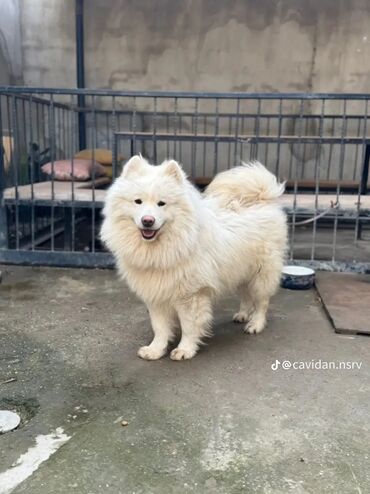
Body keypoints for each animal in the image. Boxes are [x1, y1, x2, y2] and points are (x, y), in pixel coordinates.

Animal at [102, 156, 290, 360]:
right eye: (138, 201)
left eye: (161, 203)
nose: (148, 221)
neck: (162, 248)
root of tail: (261, 199)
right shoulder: (156, 294)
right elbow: (159, 327)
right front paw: (155, 350)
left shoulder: (190, 295)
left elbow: (189, 326)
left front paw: (185, 350)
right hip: (240, 271)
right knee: (246, 295)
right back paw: (242, 315)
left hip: (261, 274)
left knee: (262, 301)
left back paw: (255, 324)